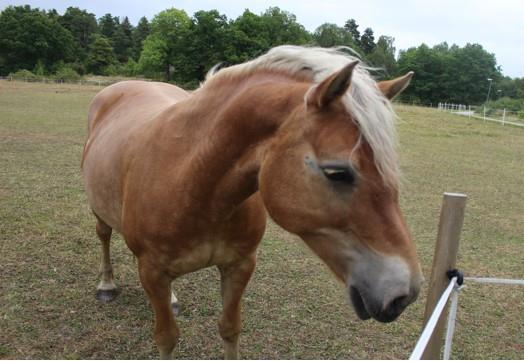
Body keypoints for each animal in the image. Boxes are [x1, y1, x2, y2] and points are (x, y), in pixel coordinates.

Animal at [83, 45, 426, 358]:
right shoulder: (152, 272)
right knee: (103, 236)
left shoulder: (240, 265)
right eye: (337, 172)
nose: (405, 293)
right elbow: (167, 338)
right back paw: (106, 286)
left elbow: (230, 328)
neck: (192, 182)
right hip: (99, 212)